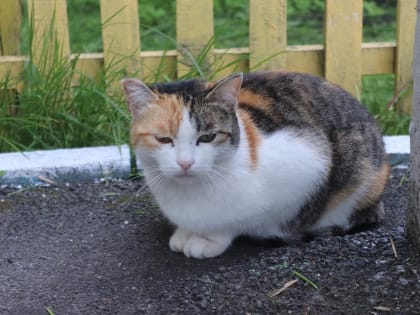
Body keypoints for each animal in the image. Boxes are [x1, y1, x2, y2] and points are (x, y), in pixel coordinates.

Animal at [121, 71, 390, 260]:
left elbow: (245, 219)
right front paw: (185, 233)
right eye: (163, 139)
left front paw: (209, 238)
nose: (185, 162)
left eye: (207, 137)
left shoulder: (310, 163)